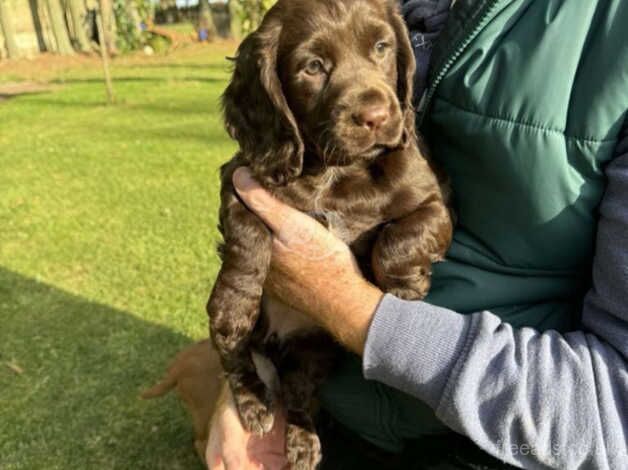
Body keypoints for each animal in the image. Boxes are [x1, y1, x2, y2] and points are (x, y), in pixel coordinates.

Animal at [209, 1, 454, 468]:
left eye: (382, 48)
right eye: (313, 67)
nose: (376, 117)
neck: (334, 169)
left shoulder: (434, 201)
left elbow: (400, 237)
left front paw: (407, 285)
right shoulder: (240, 176)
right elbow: (246, 239)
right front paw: (234, 303)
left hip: (316, 350)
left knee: (297, 396)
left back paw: (303, 442)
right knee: (235, 361)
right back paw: (255, 403)